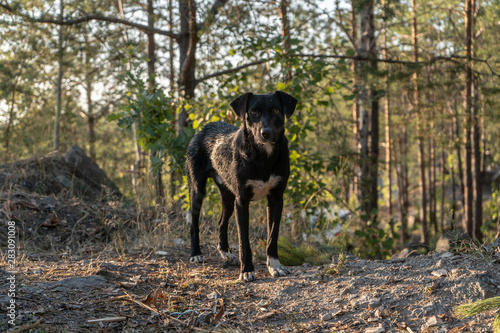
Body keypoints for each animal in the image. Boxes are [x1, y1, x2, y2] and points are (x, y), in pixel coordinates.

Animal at [187, 91, 296, 280]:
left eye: (276, 110)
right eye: (253, 113)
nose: (265, 133)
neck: (263, 156)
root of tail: (205, 127)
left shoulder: (276, 199)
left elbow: (272, 236)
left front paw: (275, 265)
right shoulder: (242, 201)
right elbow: (244, 240)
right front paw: (247, 270)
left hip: (228, 196)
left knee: (221, 222)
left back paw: (225, 251)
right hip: (197, 189)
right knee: (194, 223)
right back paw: (196, 253)